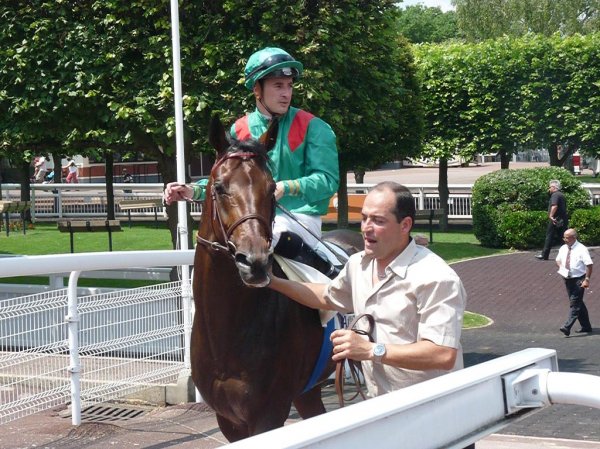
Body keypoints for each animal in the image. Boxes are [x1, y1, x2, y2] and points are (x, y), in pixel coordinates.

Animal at [191, 115, 360, 440]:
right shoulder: (227, 418)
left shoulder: (268, 413)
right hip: (308, 391)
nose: (255, 262)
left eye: (271, 189)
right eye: (218, 186)